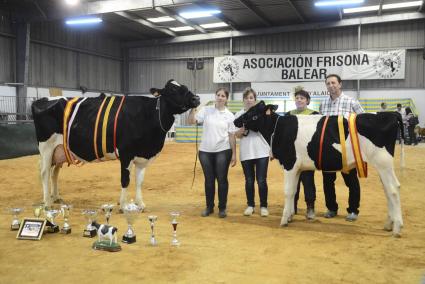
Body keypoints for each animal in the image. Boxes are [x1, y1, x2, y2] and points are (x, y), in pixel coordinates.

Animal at [31, 80, 200, 211]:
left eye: (185, 86)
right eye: (173, 90)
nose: (196, 98)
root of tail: (40, 100)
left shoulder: (142, 156)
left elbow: (139, 181)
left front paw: (140, 204)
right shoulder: (126, 153)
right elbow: (125, 180)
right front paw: (124, 205)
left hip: (59, 150)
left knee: (54, 173)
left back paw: (56, 197)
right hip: (46, 147)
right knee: (45, 172)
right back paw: (47, 203)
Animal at [235, 101, 404, 236]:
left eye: (252, 112)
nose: (236, 120)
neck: (277, 129)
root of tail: (390, 114)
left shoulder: (289, 164)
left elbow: (288, 192)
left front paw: (283, 220)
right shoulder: (297, 168)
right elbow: (294, 192)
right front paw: (289, 216)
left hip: (383, 162)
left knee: (393, 190)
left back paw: (397, 228)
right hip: (382, 166)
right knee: (388, 191)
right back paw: (388, 225)